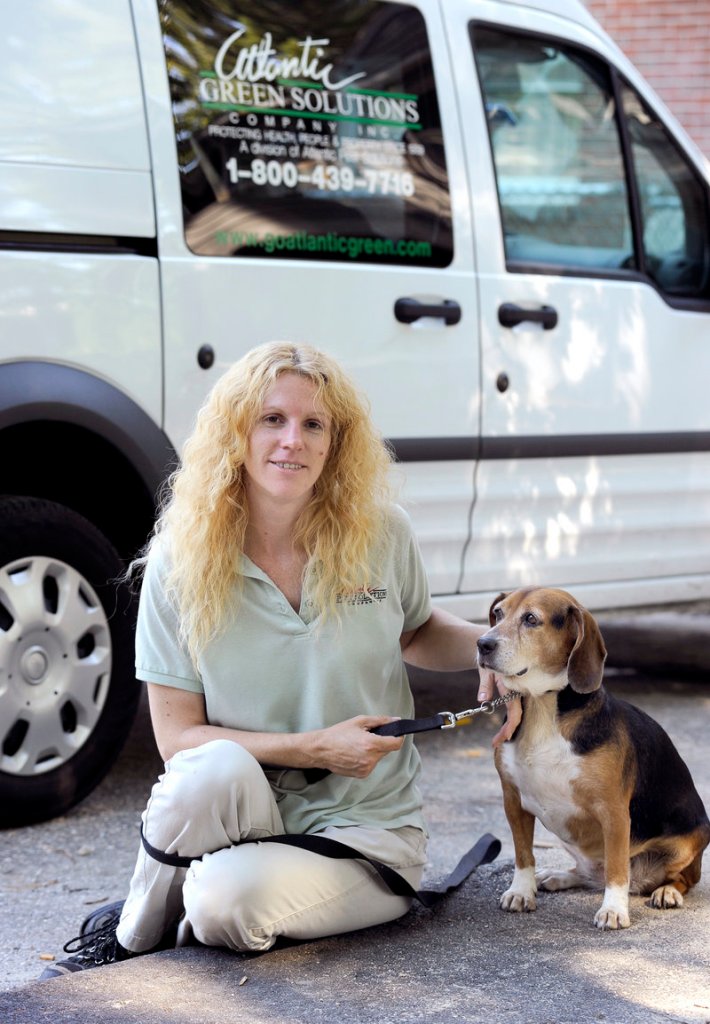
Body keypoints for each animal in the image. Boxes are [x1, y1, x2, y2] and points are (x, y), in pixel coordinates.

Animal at [475, 585, 708, 929]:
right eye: (498, 613)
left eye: (531, 619)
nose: (482, 644)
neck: (543, 706)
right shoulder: (512, 800)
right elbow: (523, 854)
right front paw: (521, 891)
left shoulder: (613, 812)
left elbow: (617, 869)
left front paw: (614, 910)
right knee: (589, 873)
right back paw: (558, 876)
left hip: (687, 843)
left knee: (682, 879)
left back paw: (667, 892)